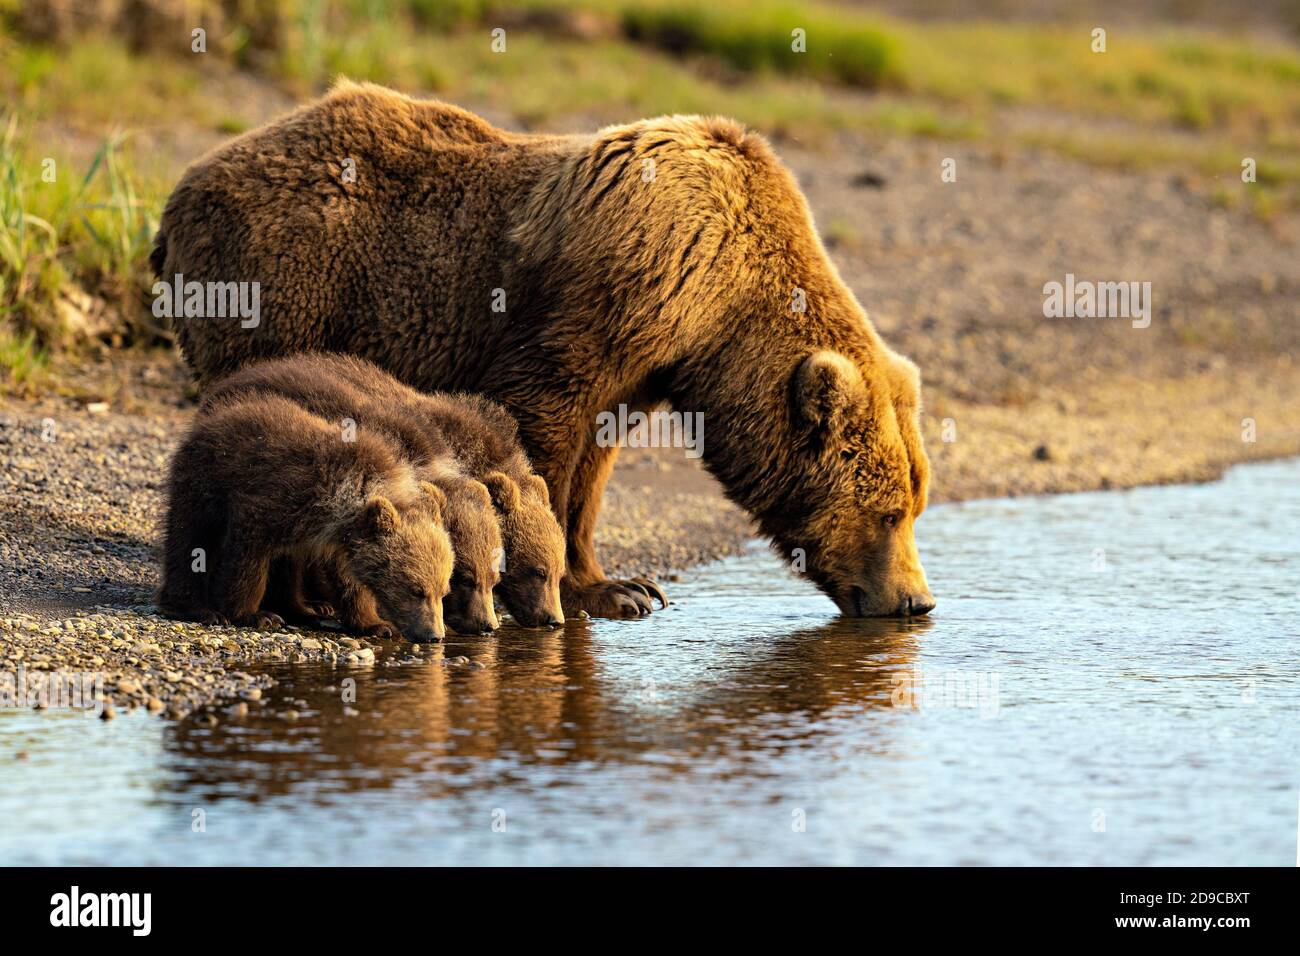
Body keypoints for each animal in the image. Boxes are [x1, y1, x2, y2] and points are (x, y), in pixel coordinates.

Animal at [154, 82, 935, 621]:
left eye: (914, 503)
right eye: (889, 510)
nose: (917, 601)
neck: (717, 308)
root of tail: (185, 185)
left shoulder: (643, 359)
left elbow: (595, 462)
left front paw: (623, 584)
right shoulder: (612, 292)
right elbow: (545, 421)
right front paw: (573, 582)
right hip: (288, 280)